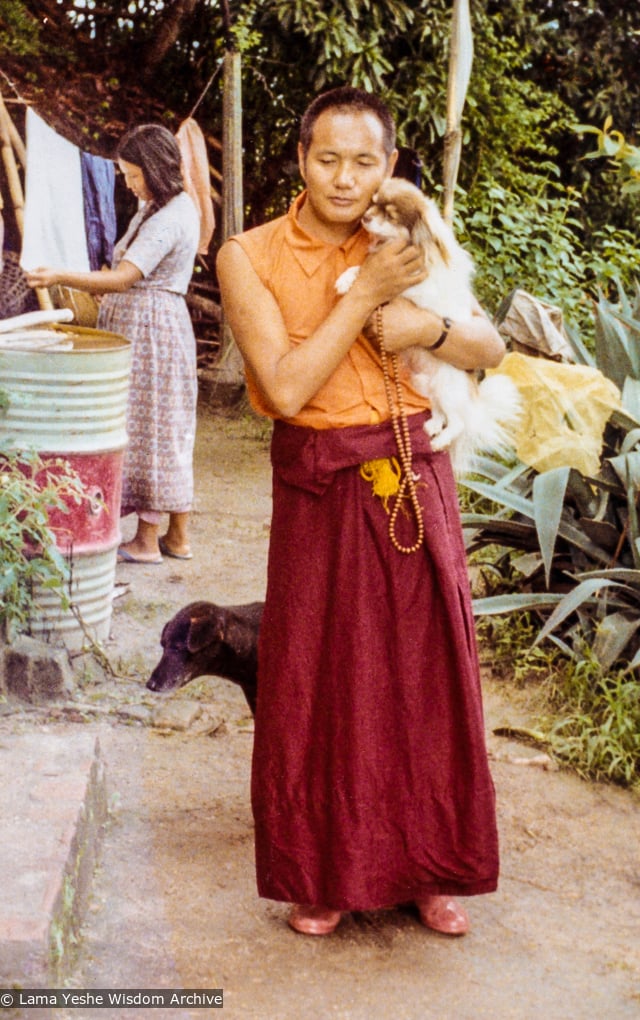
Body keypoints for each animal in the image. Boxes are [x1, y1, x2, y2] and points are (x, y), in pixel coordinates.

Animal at [334, 178, 520, 473]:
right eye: (372, 203)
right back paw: (433, 425)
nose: (365, 217)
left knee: (458, 422)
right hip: (425, 383)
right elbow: (360, 269)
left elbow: (388, 285)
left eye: (390, 215)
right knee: (440, 412)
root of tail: (473, 397)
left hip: (448, 387)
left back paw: (439, 440)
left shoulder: (416, 288)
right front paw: (345, 279)